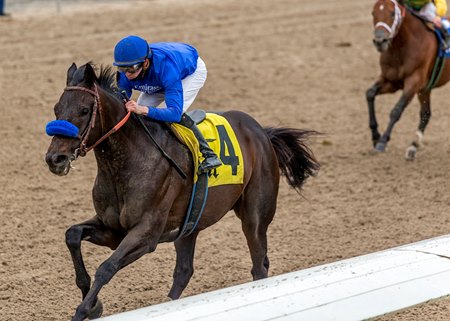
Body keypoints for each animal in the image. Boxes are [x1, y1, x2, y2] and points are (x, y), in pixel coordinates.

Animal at [44, 62, 320, 320]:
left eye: (84, 110)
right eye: (57, 109)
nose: (55, 159)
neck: (126, 163)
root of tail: (262, 132)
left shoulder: (146, 234)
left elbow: (106, 267)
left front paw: (84, 310)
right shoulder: (112, 229)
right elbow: (72, 235)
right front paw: (92, 303)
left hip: (254, 217)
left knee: (259, 265)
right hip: (189, 226)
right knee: (184, 271)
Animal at [368, 0, 450, 159]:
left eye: (392, 13)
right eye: (373, 13)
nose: (380, 41)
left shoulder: (413, 81)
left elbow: (396, 110)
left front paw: (383, 141)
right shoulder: (391, 81)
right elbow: (370, 94)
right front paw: (375, 136)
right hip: (425, 89)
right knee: (426, 114)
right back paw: (413, 146)